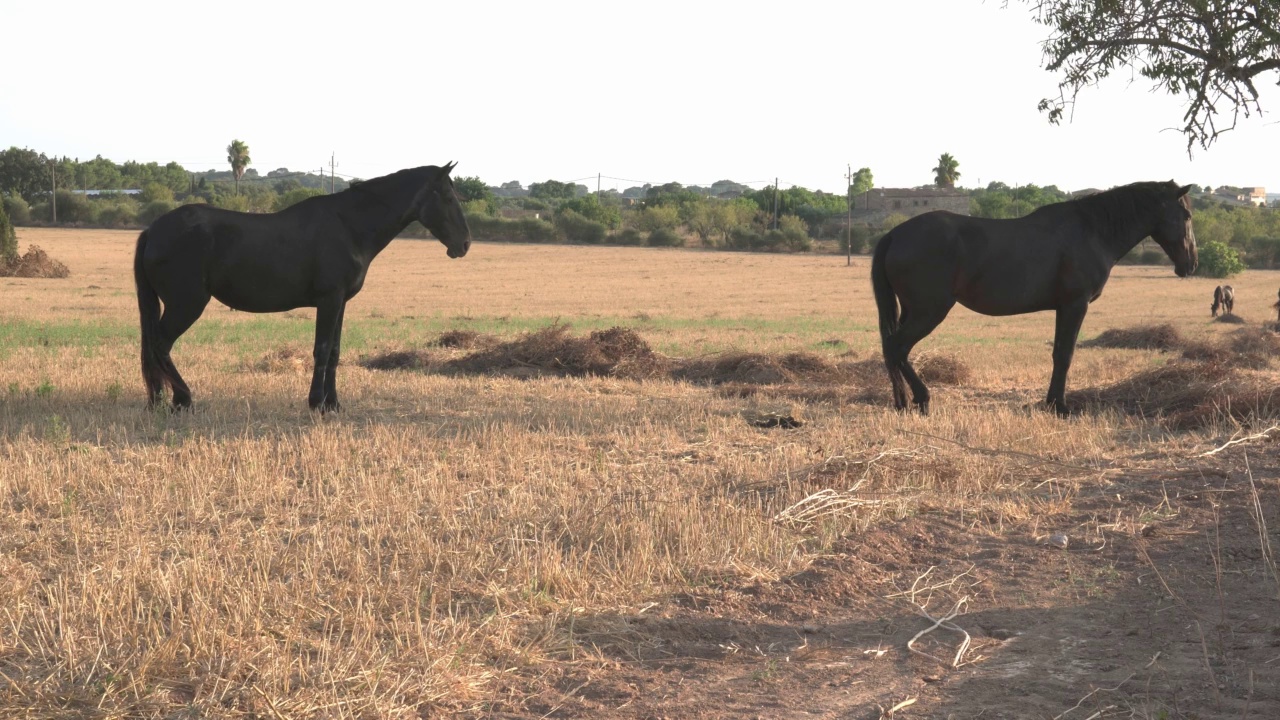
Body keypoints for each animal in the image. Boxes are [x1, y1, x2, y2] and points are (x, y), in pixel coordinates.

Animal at [133, 162, 471, 409]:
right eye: (448, 197)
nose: (465, 244)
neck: (349, 226)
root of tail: (153, 230)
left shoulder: (340, 302)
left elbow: (334, 351)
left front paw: (333, 403)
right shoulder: (329, 299)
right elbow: (321, 350)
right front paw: (316, 403)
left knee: (154, 348)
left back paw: (159, 400)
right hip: (186, 304)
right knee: (160, 345)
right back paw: (182, 398)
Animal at [875, 179, 1192, 415]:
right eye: (1187, 216)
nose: (1190, 264)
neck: (1092, 230)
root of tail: (894, 234)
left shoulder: (1063, 308)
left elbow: (1058, 353)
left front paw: (1052, 403)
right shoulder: (1075, 305)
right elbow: (1065, 354)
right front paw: (1060, 407)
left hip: (912, 310)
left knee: (892, 350)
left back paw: (902, 402)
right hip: (929, 311)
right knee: (898, 347)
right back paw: (922, 399)